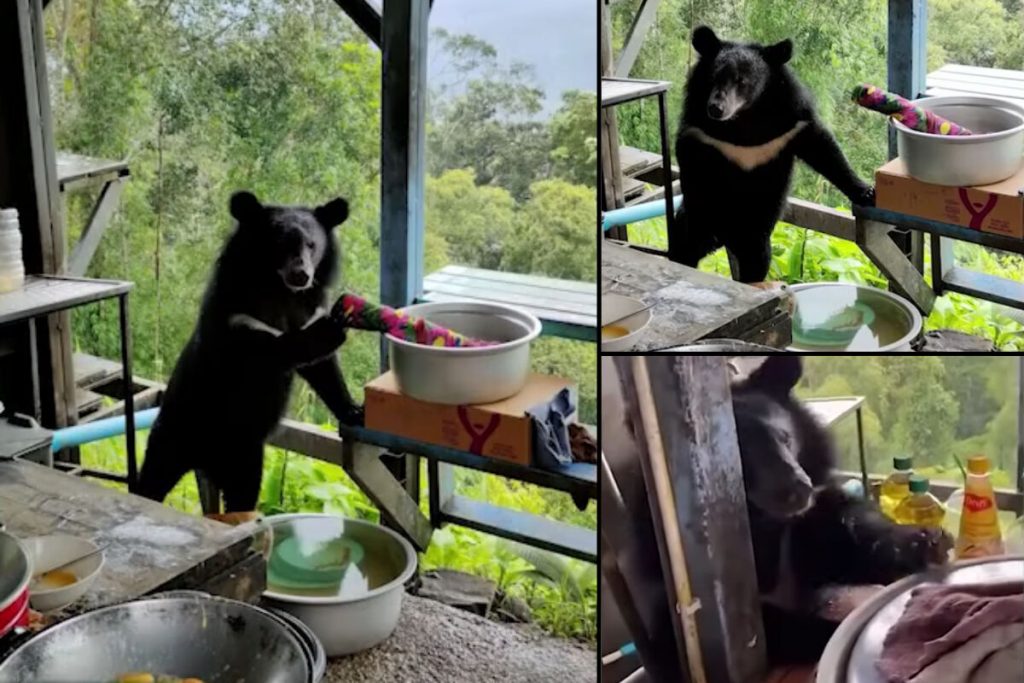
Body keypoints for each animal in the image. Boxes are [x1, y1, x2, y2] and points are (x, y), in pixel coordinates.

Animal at [136, 191, 364, 512]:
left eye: (312, 245)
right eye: (280, 243)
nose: (301, 274)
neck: (279, 290)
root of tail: (206, 457)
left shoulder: (306, 307)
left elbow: (322, 370)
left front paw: (354, 410)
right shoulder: (233, 317)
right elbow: (262, 354)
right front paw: (332, 329)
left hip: (247, 457)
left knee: (242, 494)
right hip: (176, 431)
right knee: (153, 476)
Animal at [672, 26, 876, 283]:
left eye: (742, 81)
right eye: (713, 78)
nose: (716, 109)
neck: (744, 119)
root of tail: (729, 235)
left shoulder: (791, 123)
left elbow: (825, 151)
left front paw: (867, 192)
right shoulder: (701, 133)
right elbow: (691, 169)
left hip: (755, 231)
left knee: (757, 258)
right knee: (685, 244)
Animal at [731, 356, 952, 663]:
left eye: (786, 438)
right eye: (741, 455)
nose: (799, 489)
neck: (767, 523)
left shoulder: (805, 523)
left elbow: (845, 539)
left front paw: (926, 541)